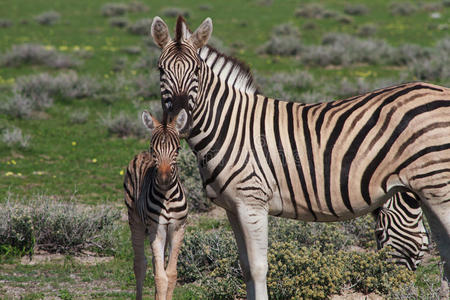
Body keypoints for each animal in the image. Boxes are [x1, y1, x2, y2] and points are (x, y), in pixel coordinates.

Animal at [123, 109, 188, 300]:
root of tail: (141, 154)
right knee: (140, 264)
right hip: (135, 220)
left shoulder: (177, 227)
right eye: (154, 149)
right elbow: (160, 277)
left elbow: (171, 274)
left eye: (178, 149)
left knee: (154, 263)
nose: (164, 179)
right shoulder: (156, 228)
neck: (167, 197)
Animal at [150, 17, 450, 300]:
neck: (229, 126)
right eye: (161, 70)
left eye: (197, 71)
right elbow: (245, 267)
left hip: (439, 188)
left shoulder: (252, 203)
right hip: (430, 190)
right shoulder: (232, 208)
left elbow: (258, 267)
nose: (178, 120)